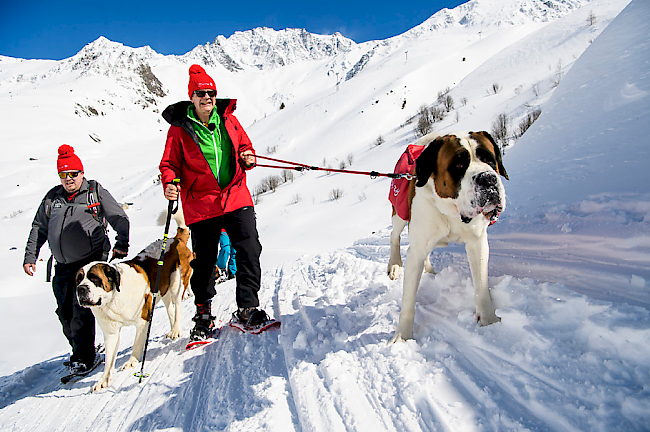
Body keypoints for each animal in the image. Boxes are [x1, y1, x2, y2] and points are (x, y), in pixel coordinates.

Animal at [75, 210, 191, 392]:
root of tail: (175, 239)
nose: (81, 289)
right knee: (170, 308)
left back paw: (176, 330)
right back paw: (172, 329)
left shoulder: (143, 320)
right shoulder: (110, 332)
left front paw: (132, 362)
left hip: (177, 283)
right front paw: (103, 380)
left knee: (178, 307)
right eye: (78, 279)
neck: (114, 297)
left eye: (94, 279)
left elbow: (137, 344)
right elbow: (109, 358)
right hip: (163, 289)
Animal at [384, 130, 506, 342]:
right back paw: (395, 265)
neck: (452, 212)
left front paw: (489, 321)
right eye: (458, 165)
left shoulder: (477, 243)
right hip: (399, 211)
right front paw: (402, 337)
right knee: (394, 234)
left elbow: (481, 285)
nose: (487, 179)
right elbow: (408, 300)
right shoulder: (416, 251)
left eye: (490, 159)